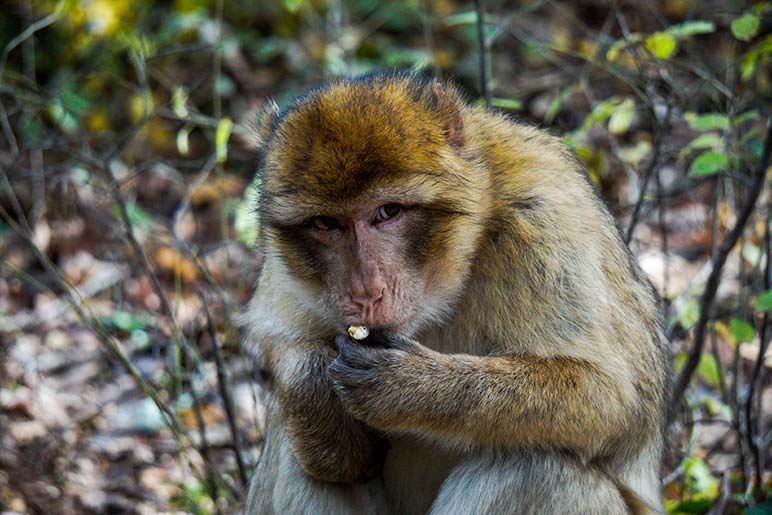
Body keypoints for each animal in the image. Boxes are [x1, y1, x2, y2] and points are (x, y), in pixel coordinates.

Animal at [241, 72, 668, 515]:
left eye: (388, 212)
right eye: (326, 223)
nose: (364, 291)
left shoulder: (544, 219)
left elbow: (611, 401)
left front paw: (412, 387)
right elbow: (272, 332)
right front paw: (318, 397)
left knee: (538, 466)